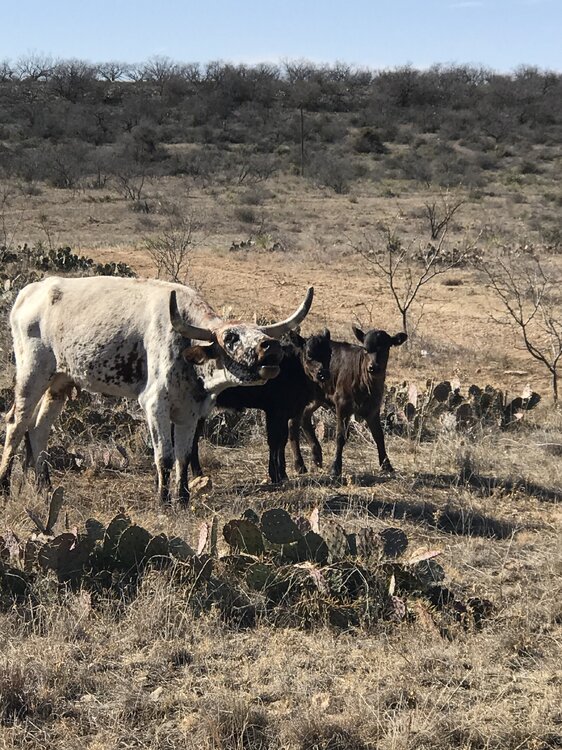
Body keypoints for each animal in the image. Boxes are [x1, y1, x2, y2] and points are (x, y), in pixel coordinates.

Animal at [0, 275, 313, 504]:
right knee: (17, 423)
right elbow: (164, 455)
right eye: (231, 337)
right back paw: (4, 484)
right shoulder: (155, 406)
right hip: (32, 374)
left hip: (60, 381)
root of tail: (30, 291)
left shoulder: (190, 412)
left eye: (261, 333)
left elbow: (184, 456)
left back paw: (44, 487)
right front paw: (163, 500)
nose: (269, 346)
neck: (186, 351)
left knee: (39, 428)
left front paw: (182, 498)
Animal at [189, 329, 332, 484]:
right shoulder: (274, 411)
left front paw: (282, 474)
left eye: (329, 353)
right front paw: (276, 475)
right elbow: (274, 440)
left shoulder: (289, 411)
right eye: (309, 354)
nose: (323, 373)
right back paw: (198, 474)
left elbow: (282, 440)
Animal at [297, 324, 407, 477]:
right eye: (366, 349)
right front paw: (335, 468)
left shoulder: (373, 408)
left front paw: (387, 466)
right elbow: (341, 436)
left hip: (317, 398)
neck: (366, 384)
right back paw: (300, 465)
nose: (373, 367)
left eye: (385, 348)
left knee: (305, 417)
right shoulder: (342, 404)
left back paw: (317, 457)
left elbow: (379, 436)